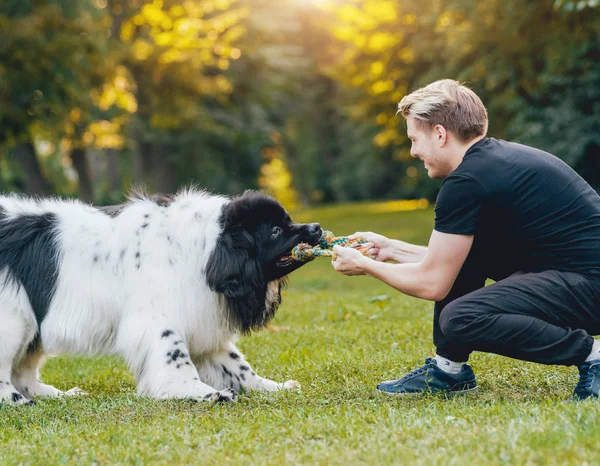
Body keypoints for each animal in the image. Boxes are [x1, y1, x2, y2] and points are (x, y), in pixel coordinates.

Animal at [0, 189, 324, 404]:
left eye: (288, 219)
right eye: (275, 230)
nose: (317, 227)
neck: (205, 250)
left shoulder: (200, 315)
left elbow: (236, 365)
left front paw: (271, 387)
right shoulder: (158, 320)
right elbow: (177, 358)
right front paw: (205, 393)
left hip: (32, 320)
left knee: (25, 371)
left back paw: (56, 395)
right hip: (14, 318)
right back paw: (18, 401)